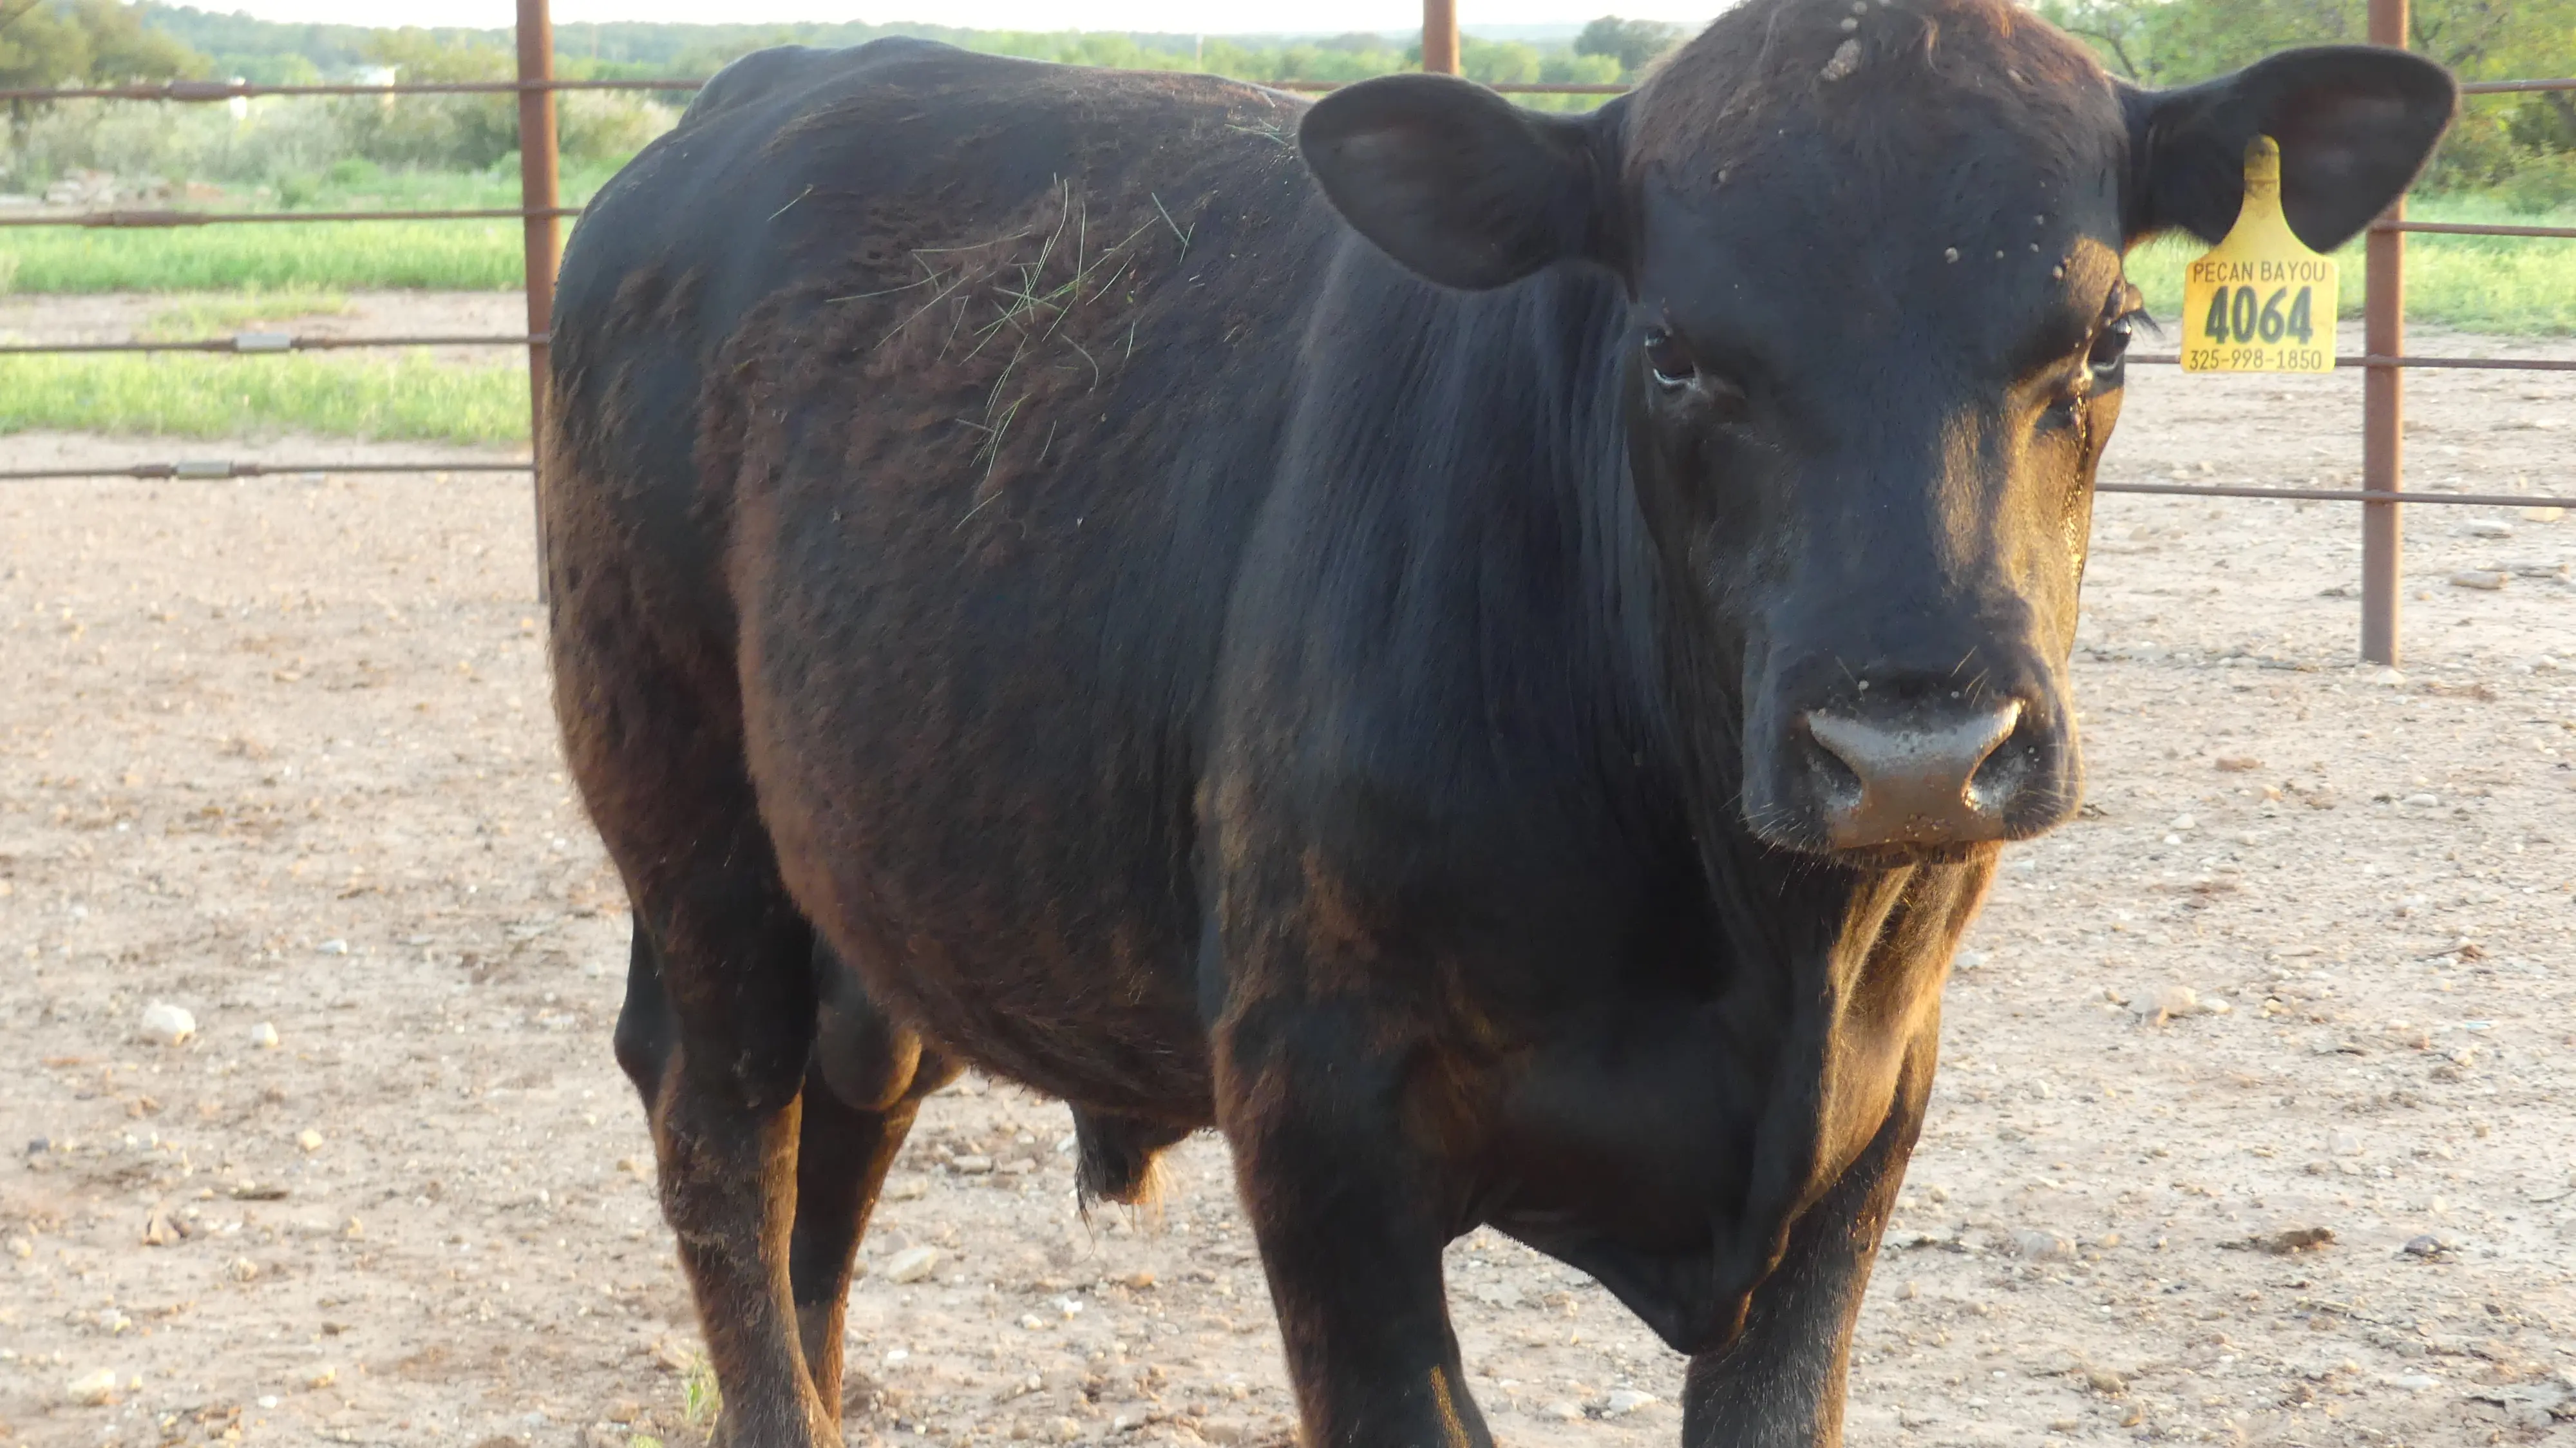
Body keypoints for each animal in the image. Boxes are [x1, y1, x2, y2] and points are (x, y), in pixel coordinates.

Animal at [540, 2, 2450, 1443]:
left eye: (2105, 339)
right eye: (1673, 353)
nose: (1913, 750)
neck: (1761, 955)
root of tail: (738, 105)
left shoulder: (1868, 1128)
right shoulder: (1317, 1120)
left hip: (870, 875)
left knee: (838, 1130)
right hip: (682, 809)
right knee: (725, 1139)